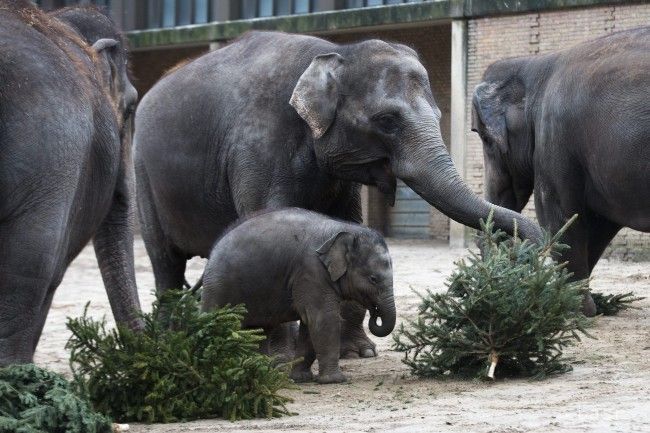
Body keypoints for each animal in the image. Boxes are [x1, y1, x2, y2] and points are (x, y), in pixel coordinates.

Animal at [133, 27, 540, 358]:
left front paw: (358, 353)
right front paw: (282, 358)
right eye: (387, 121)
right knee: (165, 263)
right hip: (142, 175)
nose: (534, 250)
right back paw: (177, 341)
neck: (335, 53)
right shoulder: (256, 147)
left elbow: (349, 223)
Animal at [201, 208, 394, 384]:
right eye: (373, 279)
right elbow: (324, 318)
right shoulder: (311, 271)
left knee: (259, 331)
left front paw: (300, 379)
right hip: (218, 289)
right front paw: (335, 380)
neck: (344, 229)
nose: (375, 312)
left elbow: (309, 324)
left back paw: (262, 373)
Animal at [470, 28, 648, 316]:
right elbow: (598, 224)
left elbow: (557, 213)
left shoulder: (555, 135)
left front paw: (571, 308)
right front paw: (580, 304)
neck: (536, 65)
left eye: (486, 140)